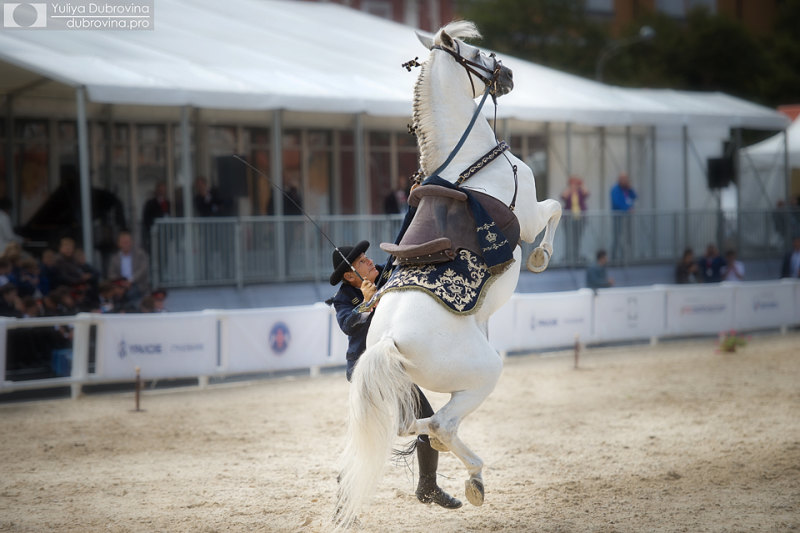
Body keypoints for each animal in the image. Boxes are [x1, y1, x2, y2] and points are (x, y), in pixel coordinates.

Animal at [334, 20, 560, 528]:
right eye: (476, 53)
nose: (507, 73)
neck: (469, 165)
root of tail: (388, 340)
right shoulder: (529, 216)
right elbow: (555, 209)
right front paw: (542, 257)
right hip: (485, 372)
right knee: (440, 424)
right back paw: (474, 480)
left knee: (410, 426)